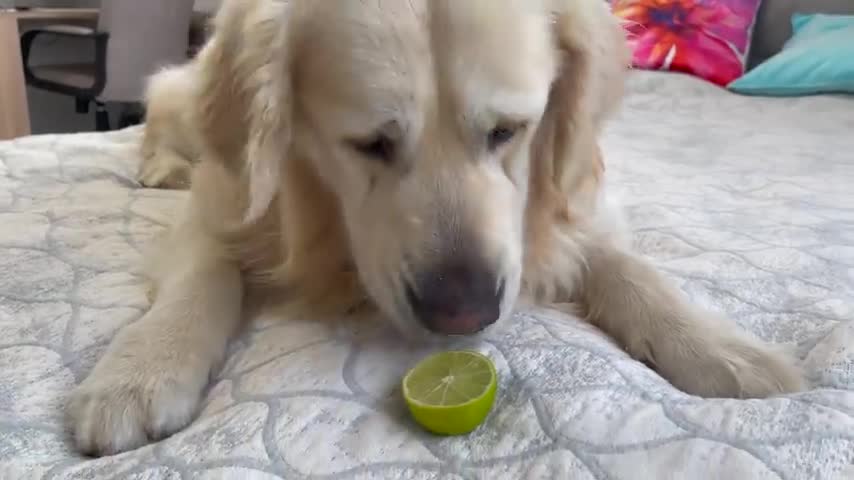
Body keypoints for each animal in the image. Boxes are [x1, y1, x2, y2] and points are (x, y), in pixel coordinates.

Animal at [70, 0, 804, 458]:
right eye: (369, 144)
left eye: (509, 131)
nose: (464, 313)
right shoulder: (223, 206)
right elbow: (205, 273)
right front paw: (141, 370)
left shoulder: (574, 205)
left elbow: (628, 266)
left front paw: (719, 346)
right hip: (193, 104)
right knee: (160, 113)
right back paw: (159, 166)